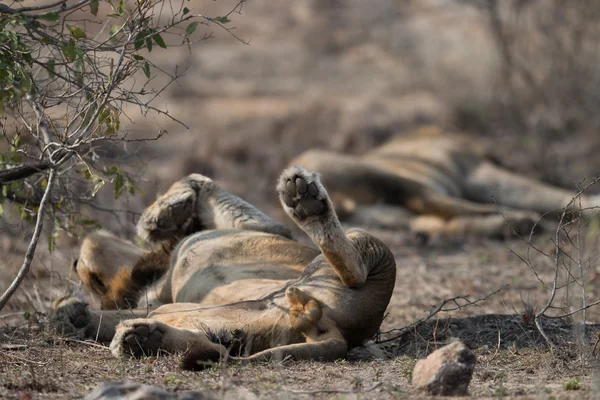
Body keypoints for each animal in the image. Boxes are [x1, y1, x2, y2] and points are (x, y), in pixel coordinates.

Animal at [50, 166, 394, 368]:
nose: (74, 262)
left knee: (354, 269)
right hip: (239, 318)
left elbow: (196, 180)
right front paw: (70, 315)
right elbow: (199, 181)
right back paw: (140, 339)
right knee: (213, 348)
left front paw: (164, 213)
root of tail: (346, 334)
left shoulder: (265, 228)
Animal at [288, 126, 596, 239]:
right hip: (383, 175)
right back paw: (522, 219)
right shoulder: (477, 171)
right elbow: (548, 193)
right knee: (432, 203)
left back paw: (513, 224)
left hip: (394, 212)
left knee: (435, 221)